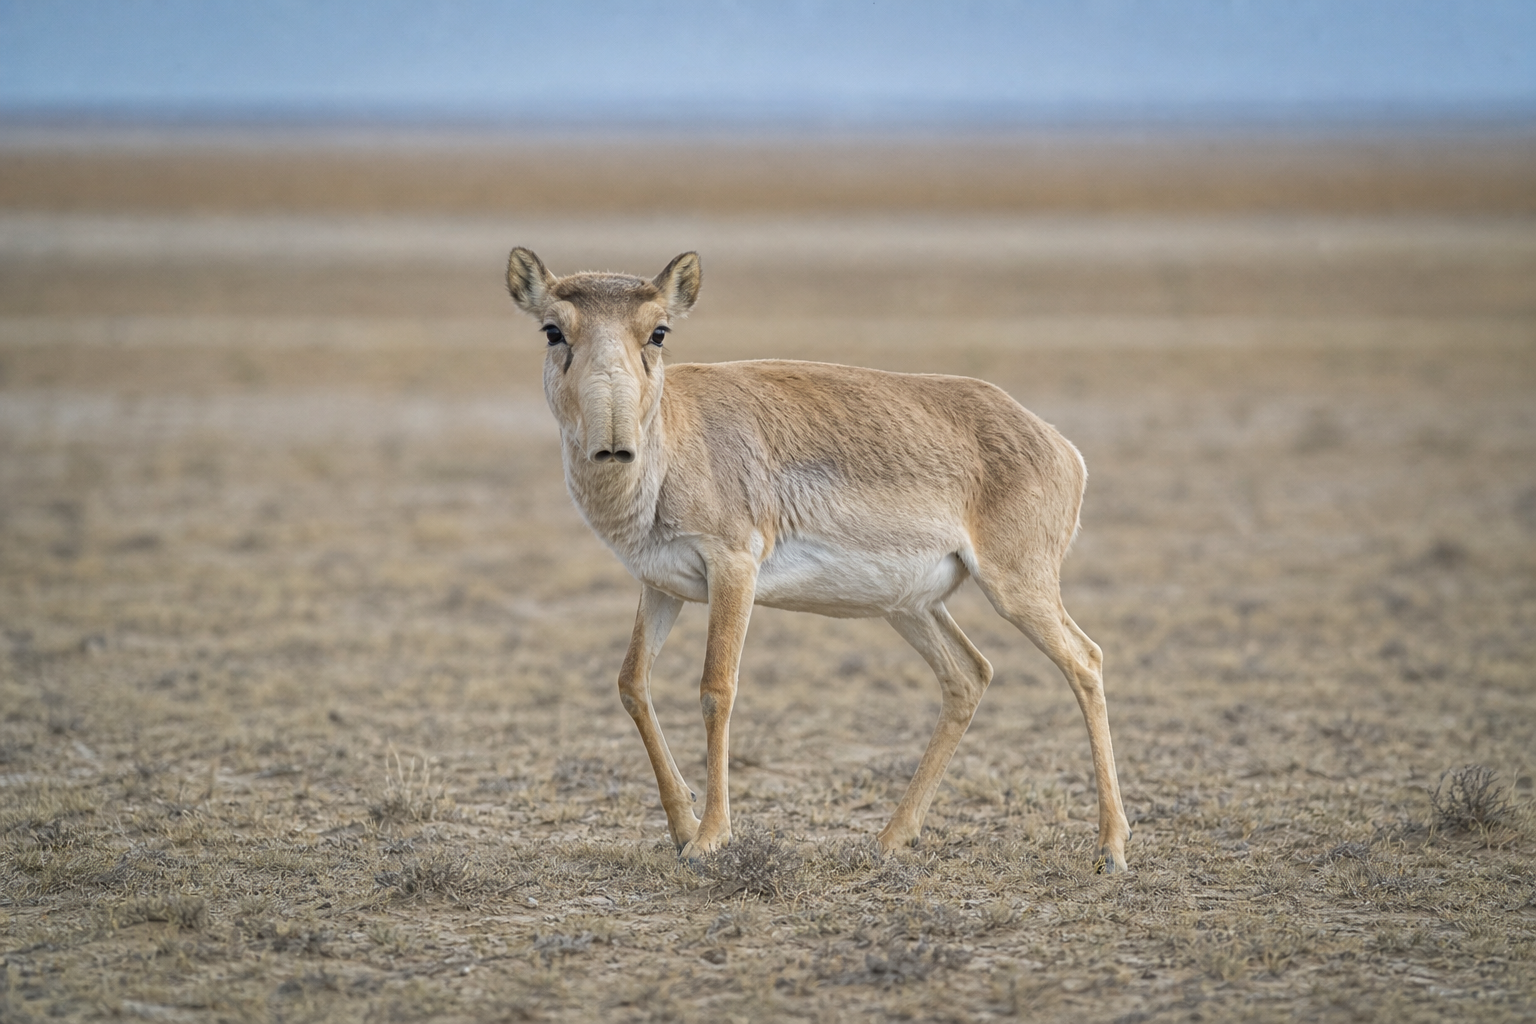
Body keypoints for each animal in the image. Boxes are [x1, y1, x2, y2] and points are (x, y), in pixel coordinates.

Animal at [506, 247, 1131, 873]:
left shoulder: (733, 570)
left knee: (1085, 660)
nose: (613, 444)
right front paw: (683, 828)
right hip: (910, 608)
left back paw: (1111, 846)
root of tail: (1058, 445)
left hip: (1016, 590)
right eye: (553, 329)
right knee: (969, 675)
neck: (678, 438)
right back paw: (890, 839)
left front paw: (711, 837)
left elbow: (716, 689)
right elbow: (632, 683)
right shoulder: (661, 587)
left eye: (658, 331)